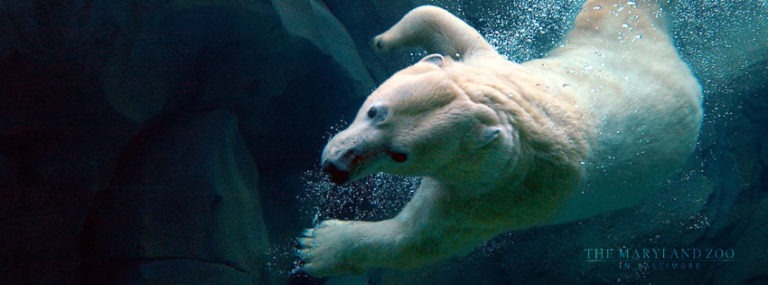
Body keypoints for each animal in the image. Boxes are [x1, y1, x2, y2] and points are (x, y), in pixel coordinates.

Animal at [298, 0, 704, 276]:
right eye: (374, 111)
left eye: (400, 154)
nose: (335, 167)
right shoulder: (492, 70)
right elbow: (445, 24)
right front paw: (384, 39)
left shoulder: (495, 194)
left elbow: (420, 239)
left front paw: (319, 246)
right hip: (605, 42)